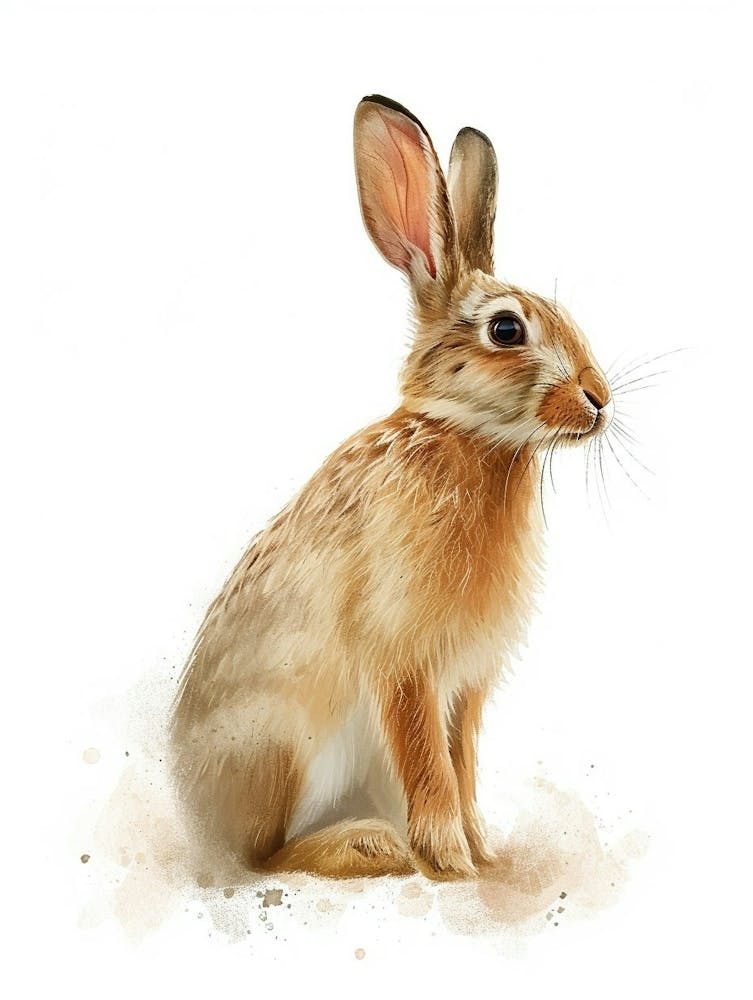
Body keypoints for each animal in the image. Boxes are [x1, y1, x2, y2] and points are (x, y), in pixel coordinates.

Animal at [170, 94, 613, 882]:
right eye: (506, 329)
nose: (599, 400)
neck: (470, 441)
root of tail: (196, 821)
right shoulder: (404, 662)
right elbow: (428, 767)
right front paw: (451, 862)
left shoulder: (464, 686)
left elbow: (460, 764)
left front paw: (483, 853)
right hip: (285, 743)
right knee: (260, 860)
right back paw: (370, 844)